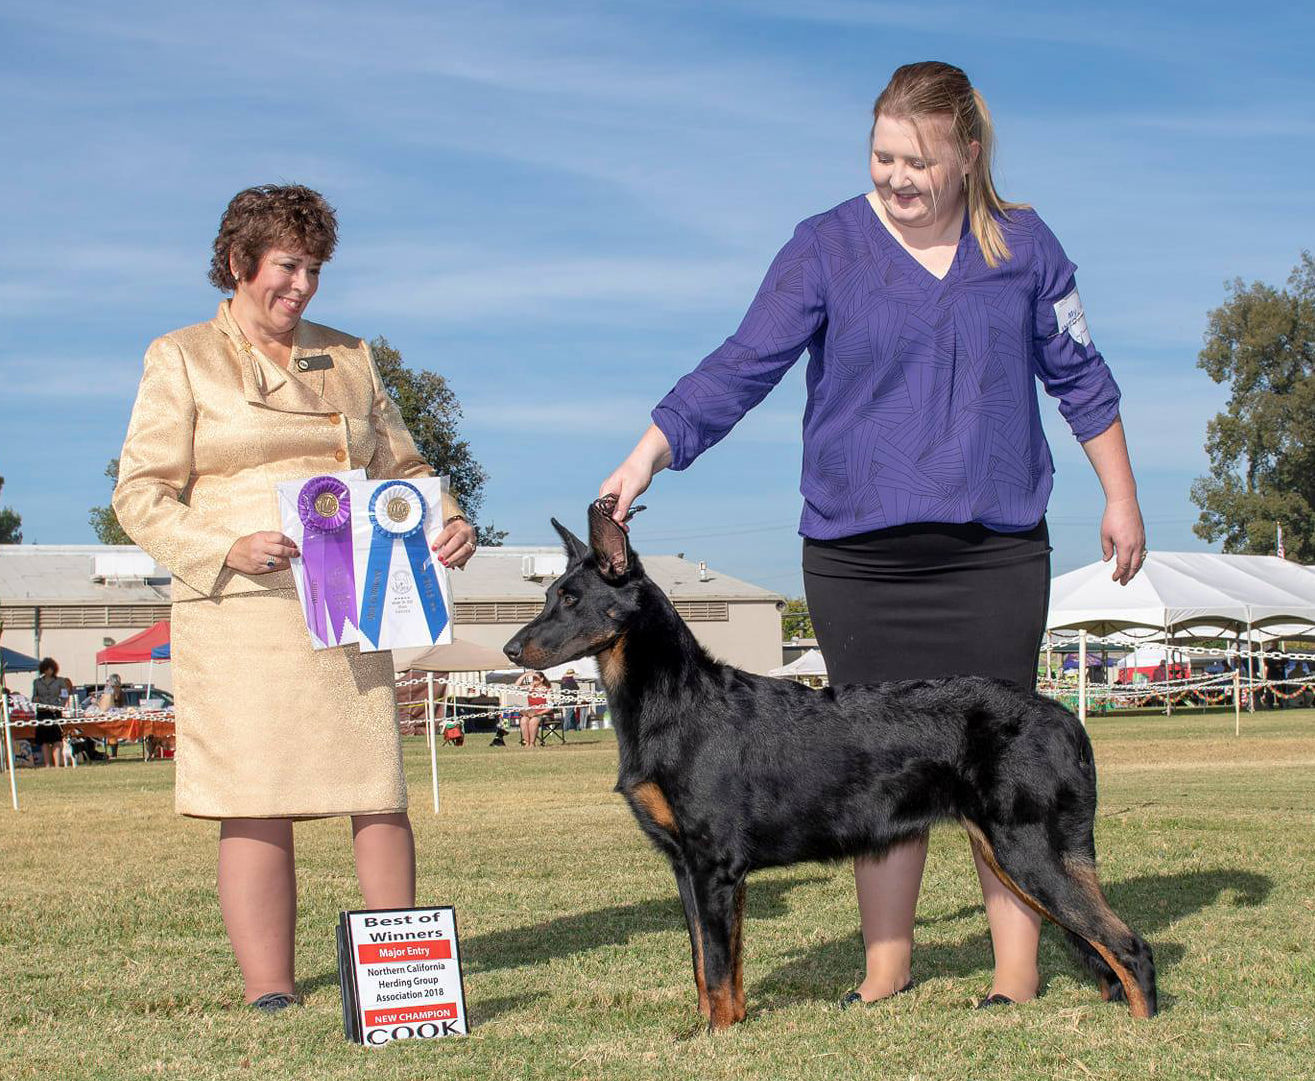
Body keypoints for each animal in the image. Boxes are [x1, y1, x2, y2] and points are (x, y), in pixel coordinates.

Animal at [507, 502, 1157, 1031]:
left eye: (571, 599)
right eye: (548, 596)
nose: (511, 649)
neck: (674, 699)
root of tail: (1065, 718)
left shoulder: (714, 866)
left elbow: (716, 967)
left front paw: (716, 1038)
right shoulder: (686, 869)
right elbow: (706, 965)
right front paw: (717, 1028)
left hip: (1028, 850)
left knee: (1130, 947)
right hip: (1014, 852)